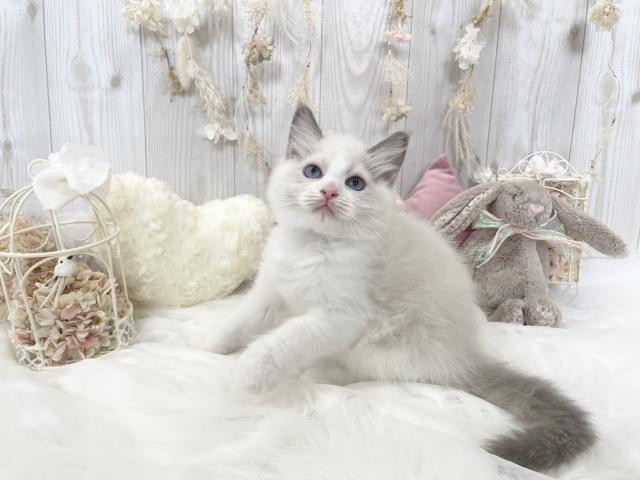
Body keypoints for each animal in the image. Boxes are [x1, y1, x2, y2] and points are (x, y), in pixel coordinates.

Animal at [210, 105, 595, 472]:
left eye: (355, 183)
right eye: (313, 172)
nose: (329, 192)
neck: (314, 245)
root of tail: (465, 356)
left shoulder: (339, 317)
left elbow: (279, 343)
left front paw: (246, 376)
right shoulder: (272, 293)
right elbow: (240, 321)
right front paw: (212, 346)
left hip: (382, 343)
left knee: (357, 371)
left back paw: (317, 372)